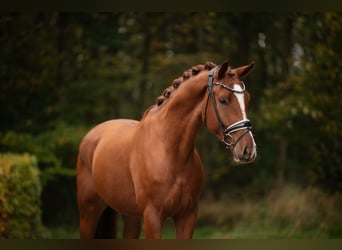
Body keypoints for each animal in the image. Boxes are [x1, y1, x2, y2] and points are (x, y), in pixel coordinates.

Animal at [75, 59, 256, 239]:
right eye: (223, 100)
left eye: (247, 99)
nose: (248, 150)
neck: (170, 149)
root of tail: (92, 134)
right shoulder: (152, 217)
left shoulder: (187, 216)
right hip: (89, 213)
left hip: (130, 216)